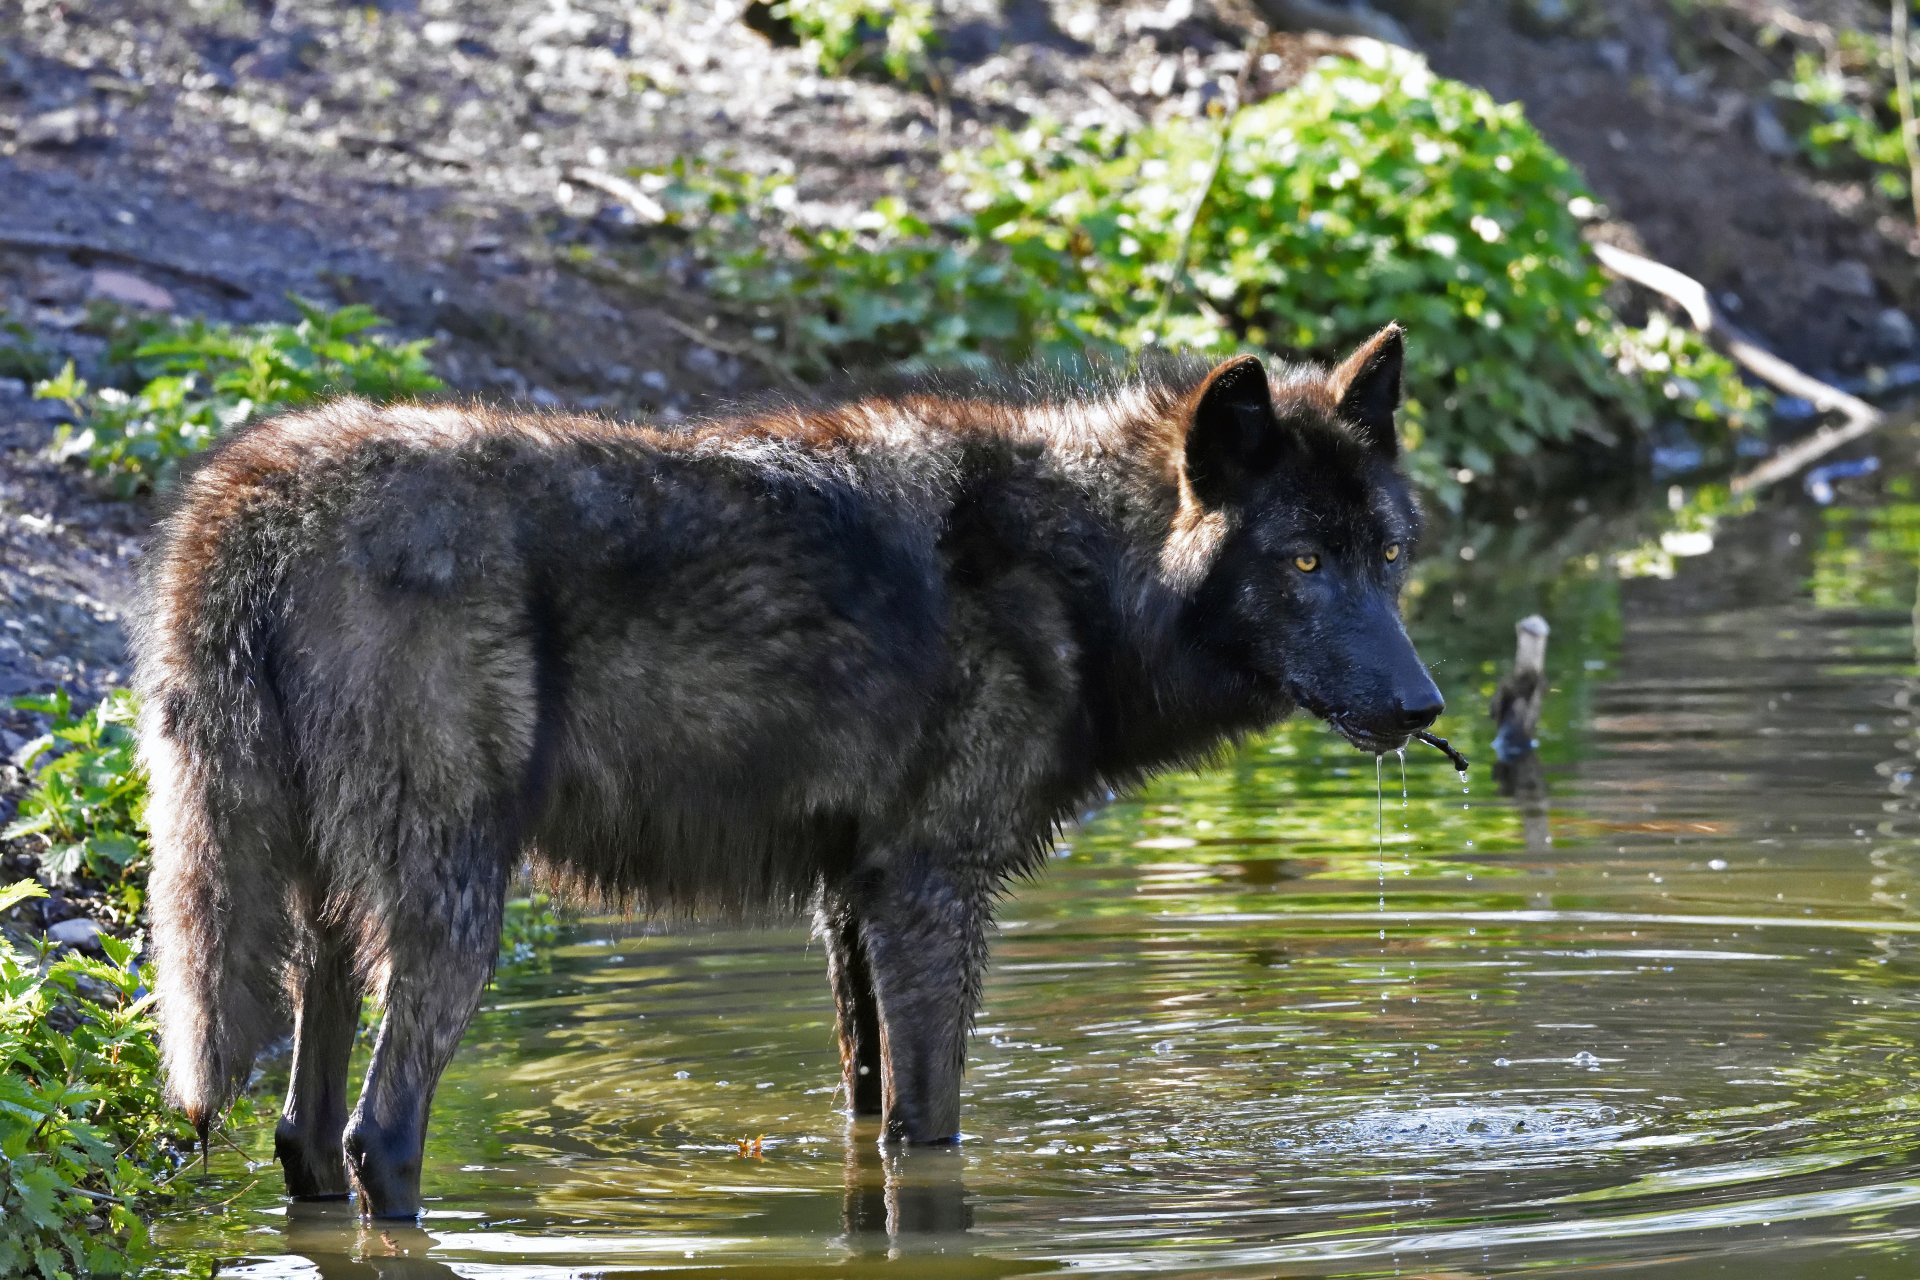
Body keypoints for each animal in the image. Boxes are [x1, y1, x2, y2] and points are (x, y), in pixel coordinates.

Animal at [136, 324, 1444, 1219]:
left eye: (1385, 554)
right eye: (1305, 560)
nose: (1423, 702)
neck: (1079, 572)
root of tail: (259, 489)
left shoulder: (849, 898)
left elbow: (868, 1107)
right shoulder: (931, 893)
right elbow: (930, 1121)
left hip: (328, 916)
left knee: (307, 1135)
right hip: (458, 910)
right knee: (382, 1133)